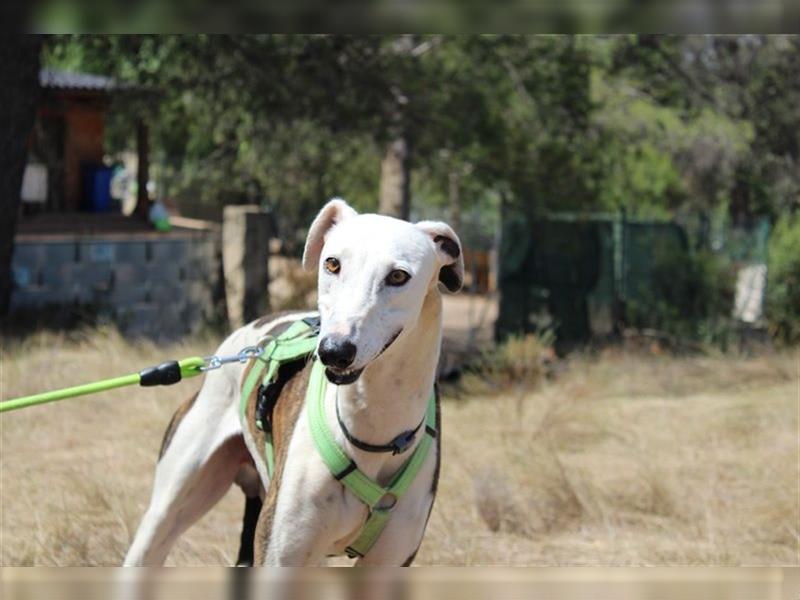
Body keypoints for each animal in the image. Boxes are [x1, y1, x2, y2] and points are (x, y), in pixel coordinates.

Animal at [122, 199, 466, 564]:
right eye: (332, 263)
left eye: (398, 276)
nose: (334, 351)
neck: (370, 429)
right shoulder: (281, 556)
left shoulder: (387, 563)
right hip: (169, 508)